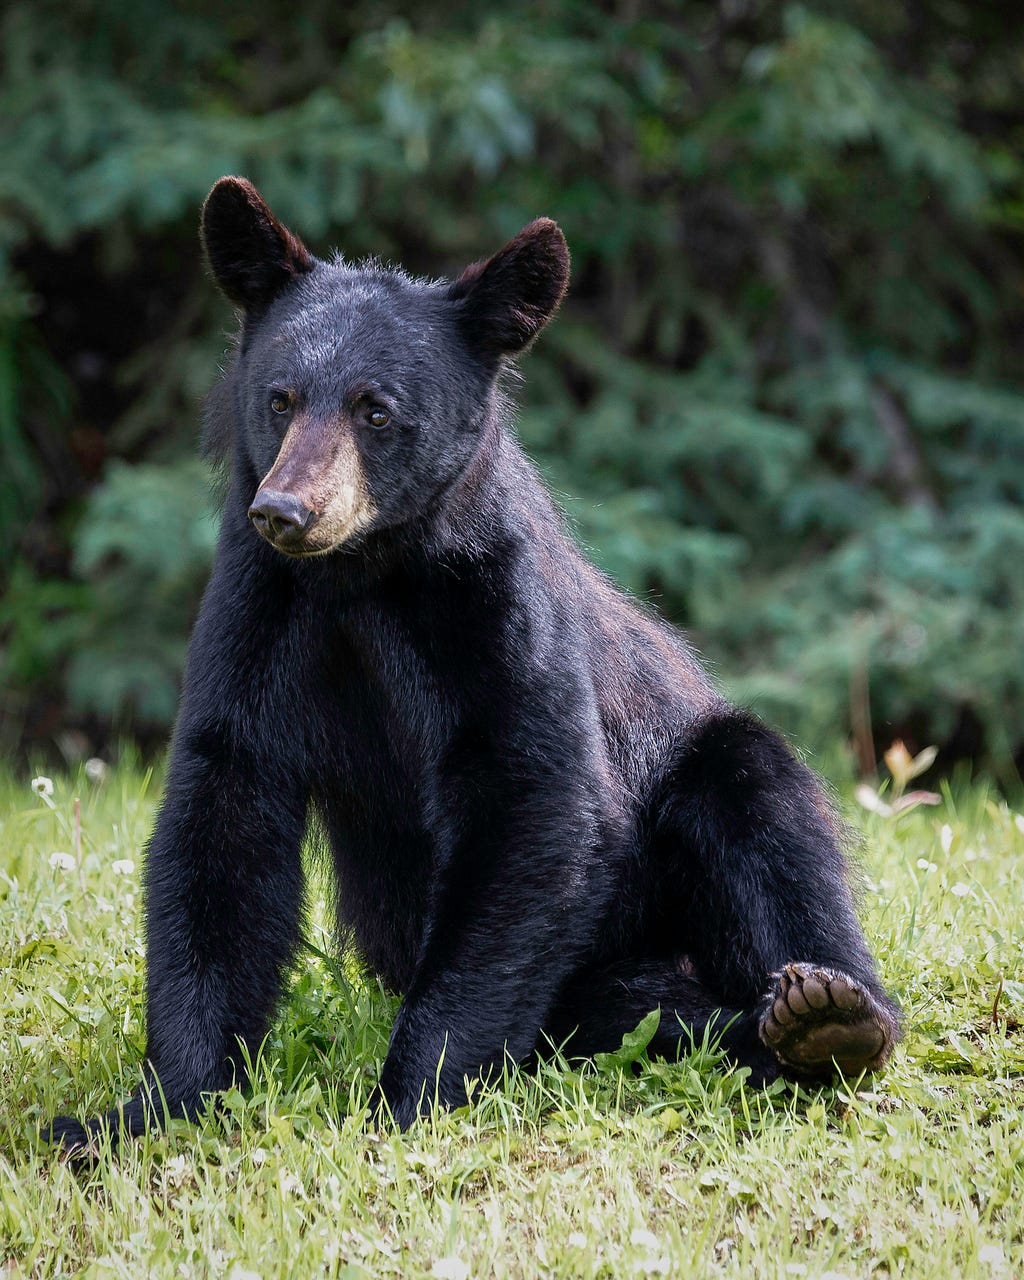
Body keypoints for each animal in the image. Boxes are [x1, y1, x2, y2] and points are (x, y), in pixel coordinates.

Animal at [49, 175, 896, 1157]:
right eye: (280, 397)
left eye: (376, 410)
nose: (286, 510)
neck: (365, 578)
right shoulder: (257, 611)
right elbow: (223, 814)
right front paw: (147, 1109)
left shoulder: (498, 609)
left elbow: (530, 798)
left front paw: (408, 1097)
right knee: (634, 1008)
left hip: (695, 792)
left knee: (761, 811)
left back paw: (826, 1016)